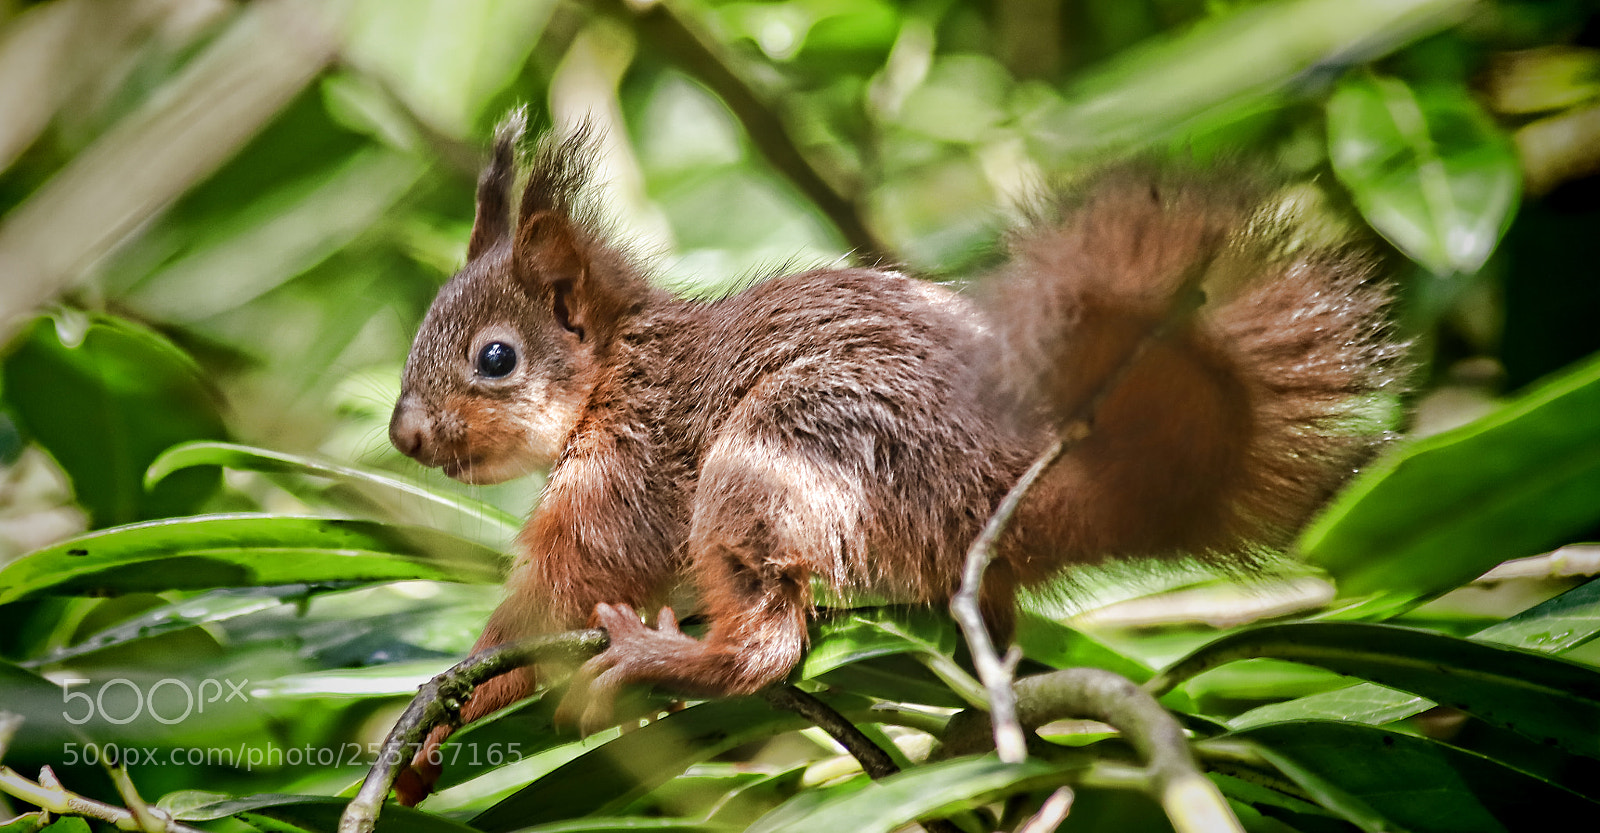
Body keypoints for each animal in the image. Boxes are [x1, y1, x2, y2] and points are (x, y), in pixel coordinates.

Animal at [386, 112, 1401, 804]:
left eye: (495, 357)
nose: (404, 435)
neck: (613, 375)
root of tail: (1008, 481)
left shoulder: (626, 475)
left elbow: (557, 597)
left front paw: (440, 714)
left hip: (779, 452)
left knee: (769, 646)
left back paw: (663, 659)